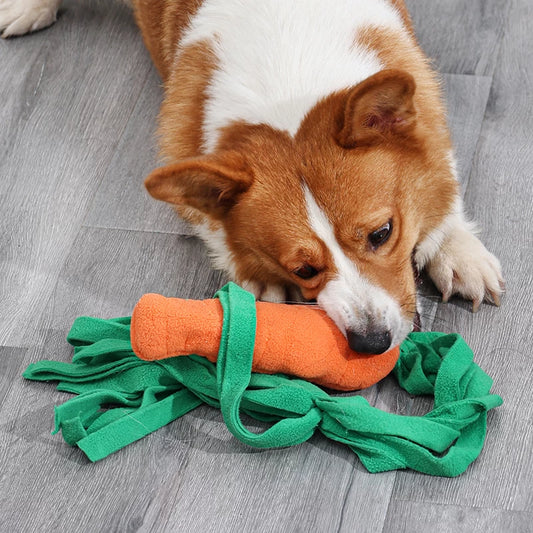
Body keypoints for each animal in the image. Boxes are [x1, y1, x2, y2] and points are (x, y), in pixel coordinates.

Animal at [2, 0, 502, 354]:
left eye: (382, 234)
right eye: (303, 269)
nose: (372, 343)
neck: (290, 82)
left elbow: (439, 185)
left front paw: (457, 250)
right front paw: (261, 282)